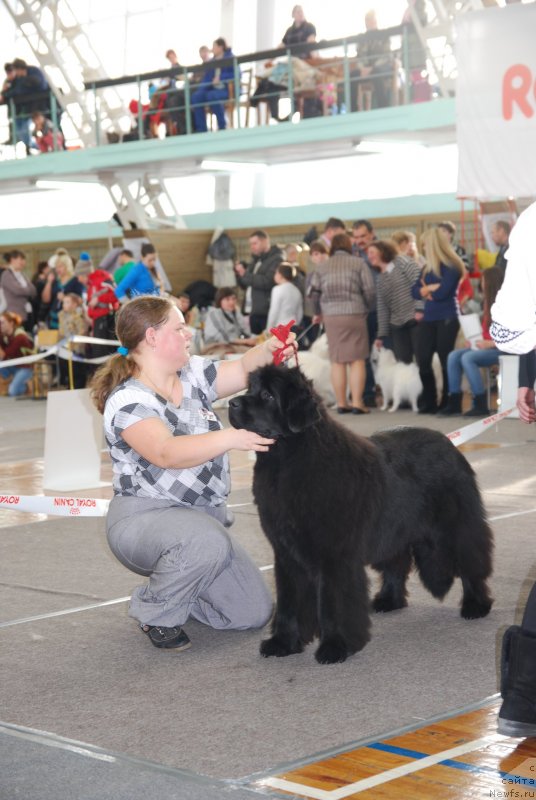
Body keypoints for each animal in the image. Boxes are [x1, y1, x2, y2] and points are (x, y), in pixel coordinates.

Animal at [228, 366, 492, 664]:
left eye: (268, 395)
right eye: (249, 389)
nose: (232, 403)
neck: (287, 459)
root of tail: (449, 443)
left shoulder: (334, 555)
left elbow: (333, 602)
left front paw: (335, 646)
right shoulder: (286, 554)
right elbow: (288, 601)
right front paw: (282, 642)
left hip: (457, 526)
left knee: (471, 562)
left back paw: (475, 605)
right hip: (394, 529)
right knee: (396, 563)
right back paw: (388, 600)